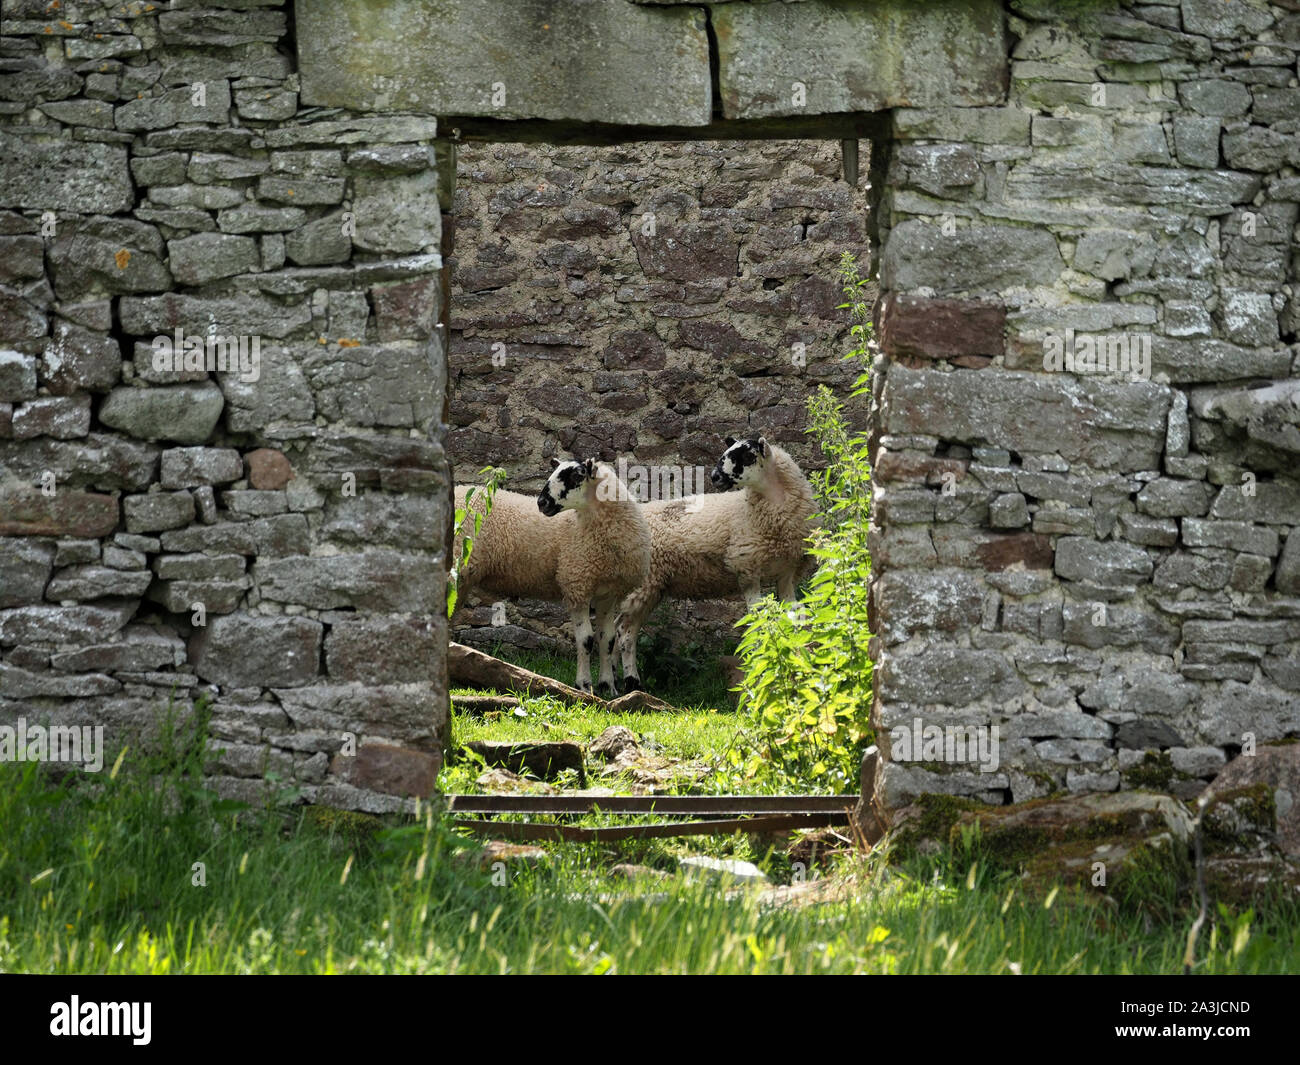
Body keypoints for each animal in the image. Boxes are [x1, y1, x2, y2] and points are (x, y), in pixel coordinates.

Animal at [454, 457, 650, 702]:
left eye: (576, 475)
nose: (541, 503)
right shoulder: (577, 583)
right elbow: (586, 639)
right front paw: (584, 686)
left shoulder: (608, 593)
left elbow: (607, 639)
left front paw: (608, 688)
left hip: (462, 580)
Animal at [616, 436, 811, 696]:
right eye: (724, 455)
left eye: (746, 456)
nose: (715, 477)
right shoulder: (747, 567)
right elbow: (758, 621)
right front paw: (762, 664)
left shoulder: (787, 573)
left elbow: (793, 617)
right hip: (642, 583)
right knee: (623, 632)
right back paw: (628, 684)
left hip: (649, 586)